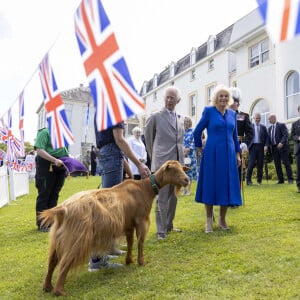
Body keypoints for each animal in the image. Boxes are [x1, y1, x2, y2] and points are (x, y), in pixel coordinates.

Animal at [39, 159, 190, 296]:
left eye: (182, 169)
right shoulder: (141, 220)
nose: (187, 180)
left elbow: (130, 241)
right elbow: (140, 242)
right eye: (173, 170)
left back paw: (47, 287)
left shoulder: (128, 223)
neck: (145, 188)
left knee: (52, 261)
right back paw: (59, 291)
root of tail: (62, 209)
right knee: (65, 262)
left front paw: (129, 260)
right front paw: (141, 262)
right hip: (77, 238)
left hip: (58, 238)